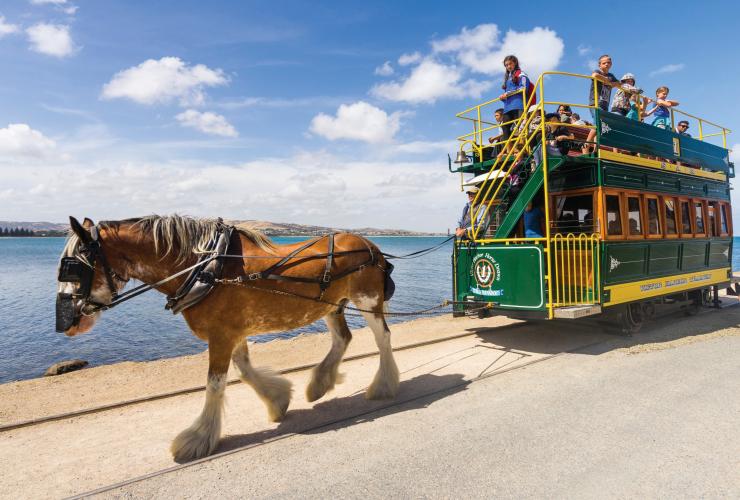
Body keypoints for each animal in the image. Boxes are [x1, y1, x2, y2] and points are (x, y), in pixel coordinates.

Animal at [56, 214, 399, 462]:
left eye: (73, 268)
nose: (65, 323)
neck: (205, 268)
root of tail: (370, 245)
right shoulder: (231, 331)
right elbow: (244, 370)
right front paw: (278, 400)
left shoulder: (221, 335)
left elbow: (215, 384)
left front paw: (198, 438)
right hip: (331, 305)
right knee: (343, 338)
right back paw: (319, 384)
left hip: (367, 300)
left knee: (383, 338)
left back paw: (383, 385)